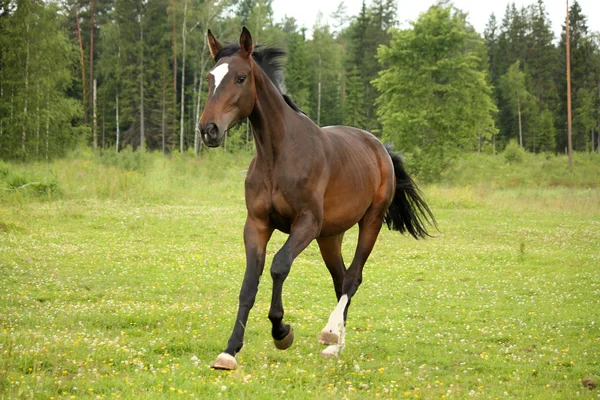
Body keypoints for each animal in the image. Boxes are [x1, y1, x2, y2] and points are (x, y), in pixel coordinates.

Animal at [199, 26, 434, 370]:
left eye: (241, 78)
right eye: (210, 78)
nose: (208, 129)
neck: (279, 156)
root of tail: (380, 148)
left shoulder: (306, 224)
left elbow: (279, 266)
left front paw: (281, 331)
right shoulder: (256, 225)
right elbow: (249, 283)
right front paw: (229, 351)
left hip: (370, 222)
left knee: (352, 279)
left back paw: (331, 338)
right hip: (330, 236)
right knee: (340, 279)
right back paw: (336, 340)